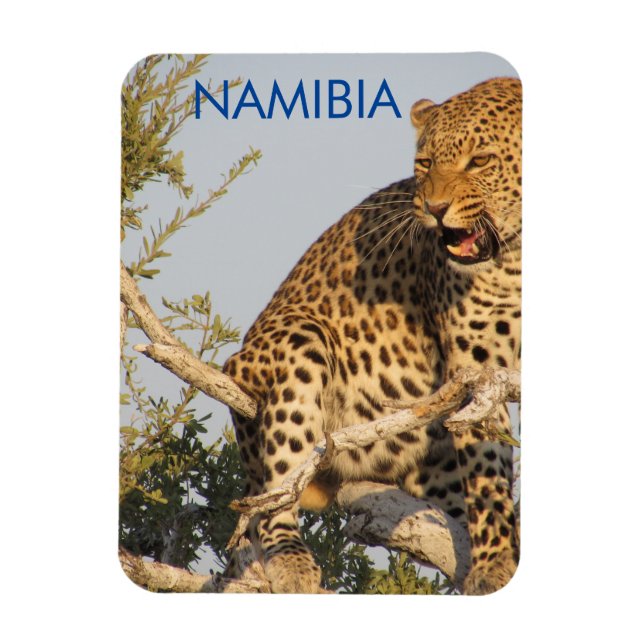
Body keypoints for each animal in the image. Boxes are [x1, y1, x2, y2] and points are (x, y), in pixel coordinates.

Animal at [223, 77, 522, 595]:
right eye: (425, 165)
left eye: (481, 160)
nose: (435, 209)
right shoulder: (479, 370)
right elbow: (487, 473)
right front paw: (495, 565)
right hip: (295, 346)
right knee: (274, 493)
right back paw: (291, 559)